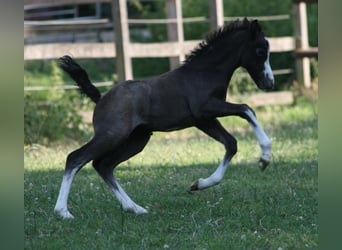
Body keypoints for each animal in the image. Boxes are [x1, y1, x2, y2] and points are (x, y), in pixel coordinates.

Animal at [54, 18, 274, 218]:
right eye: (260, 51)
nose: (269, 83)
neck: (204, 73)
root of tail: (101, 98)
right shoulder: (206, 110)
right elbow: (246, 109)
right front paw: (265, 156)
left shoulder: (204, 120)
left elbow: (231, 143)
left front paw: (199, 184)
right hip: (112, 135)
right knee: (76, 158)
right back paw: (63, 212)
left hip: (137, 140)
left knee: (103, 165)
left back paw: (135, 208)